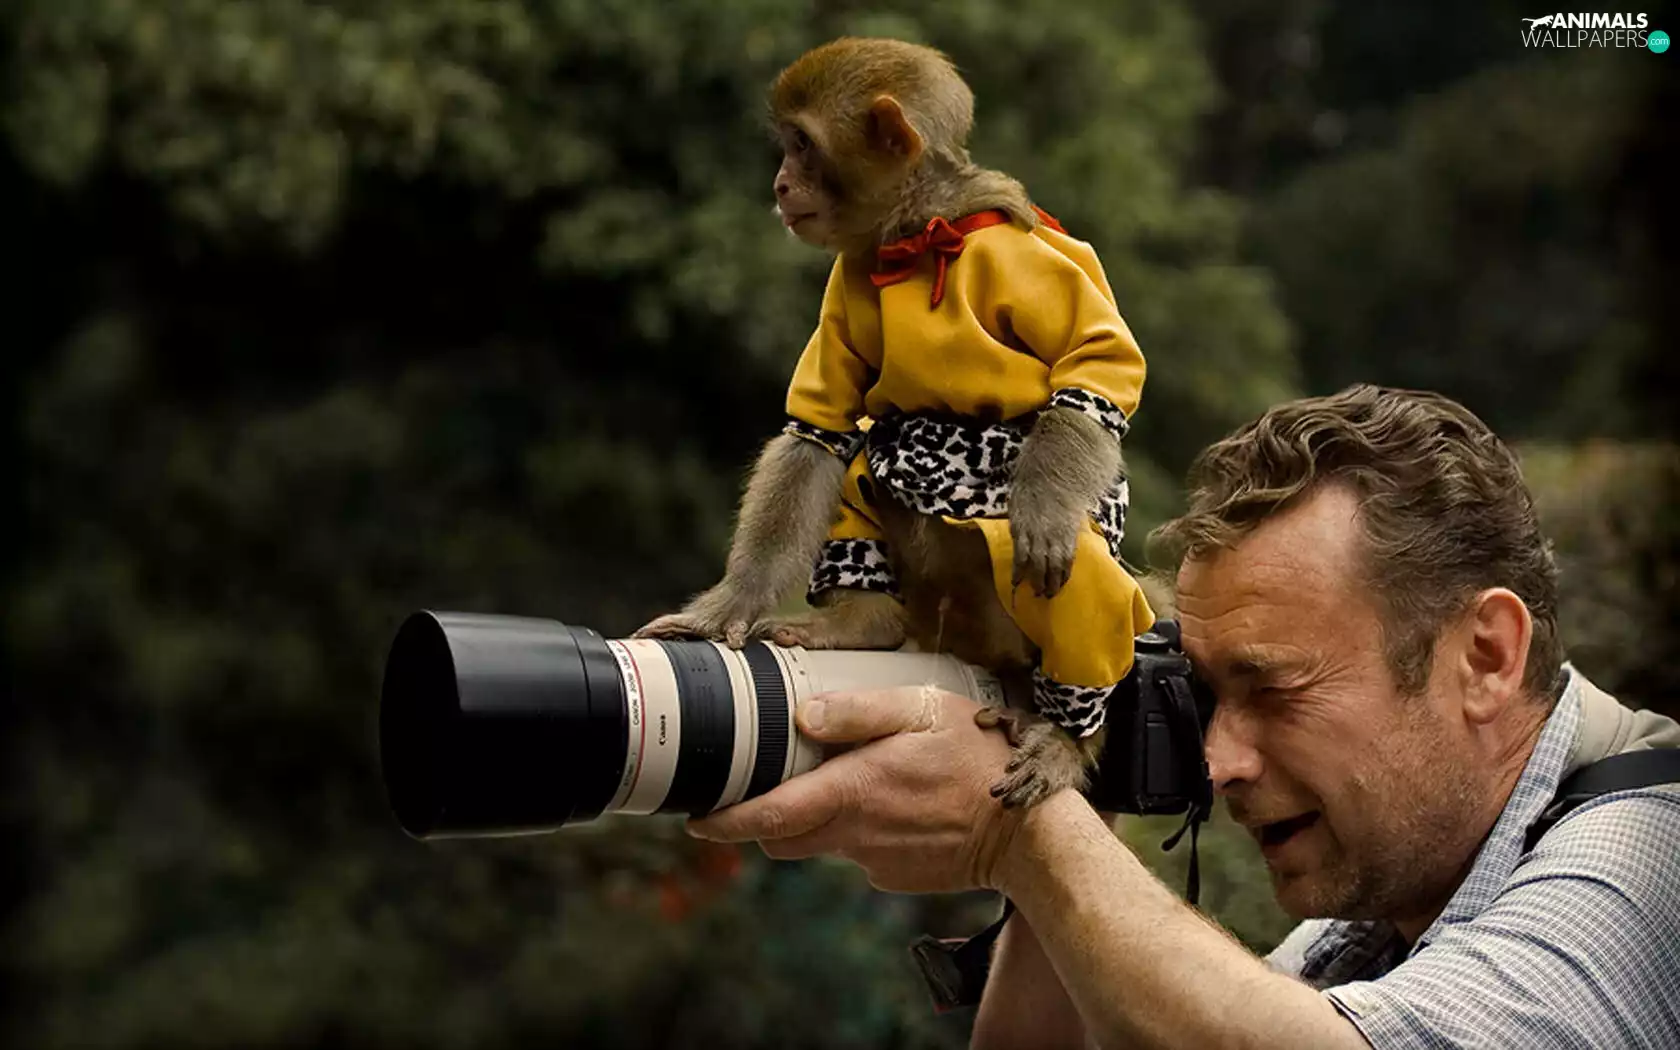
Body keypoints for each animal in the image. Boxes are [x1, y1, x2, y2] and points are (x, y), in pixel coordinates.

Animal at [637, 37, 1155, 807]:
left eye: (801, 145)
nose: (781, 185)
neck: (917, 237)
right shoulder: (847, 279)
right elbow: (816, 437)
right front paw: (727, 606)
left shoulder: (1026, 256)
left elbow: (1092, 375)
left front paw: (1041, 506)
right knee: (860, 460)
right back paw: (863, 621)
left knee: (1079, 574)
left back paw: (1068, 732)